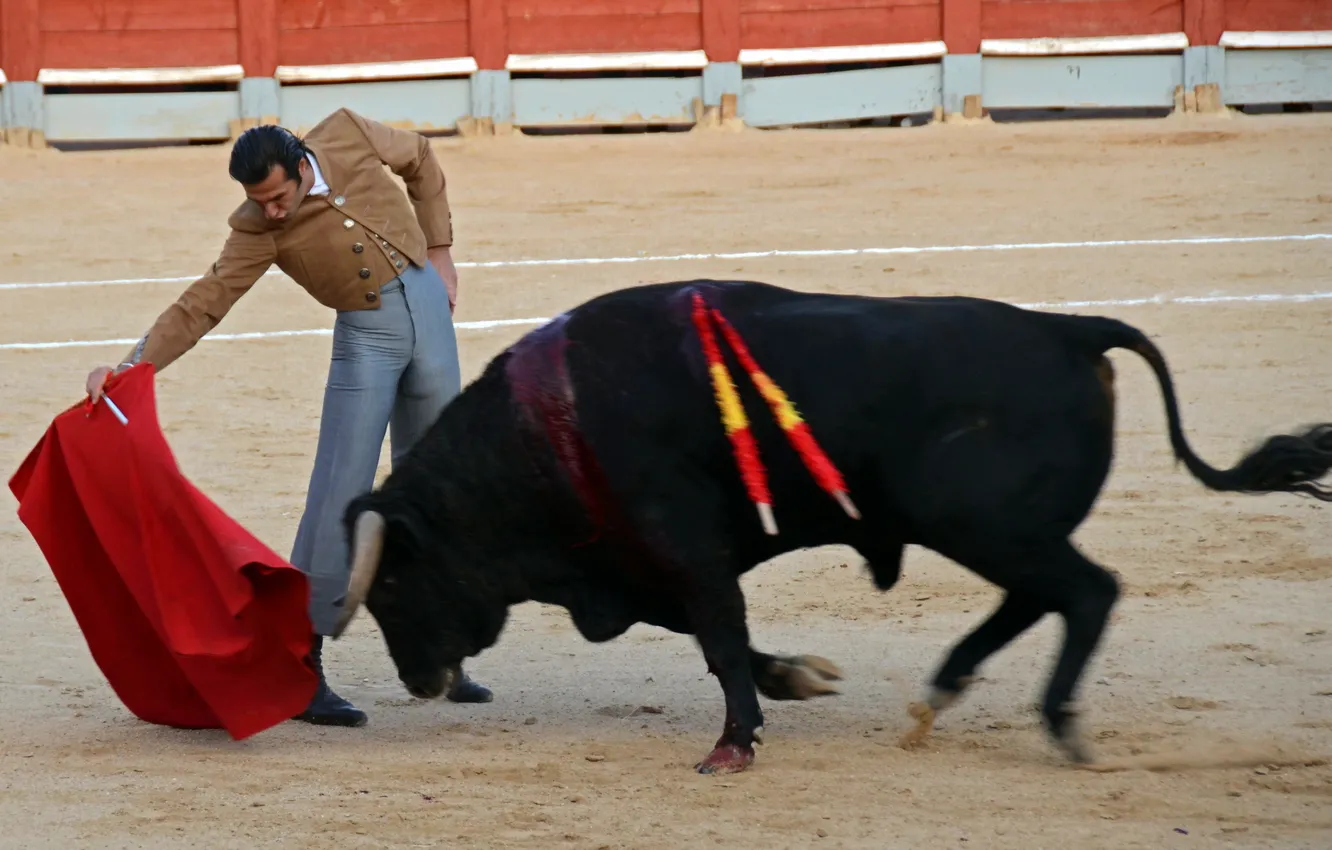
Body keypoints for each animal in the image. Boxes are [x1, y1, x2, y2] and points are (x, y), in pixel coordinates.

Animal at [327, 281, 1326, 778]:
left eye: (392, 585)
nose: (418, 682)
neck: (548, 432)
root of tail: (1070, 331)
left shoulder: (680, 544)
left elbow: (718, 634)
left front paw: (733, 745)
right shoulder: (642, 565)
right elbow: (713, 632)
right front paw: (793, 682)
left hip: (985, 524)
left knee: (1086, 591)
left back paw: (1061, 727)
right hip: (992, 530)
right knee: (1042, 597)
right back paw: (942, 693)